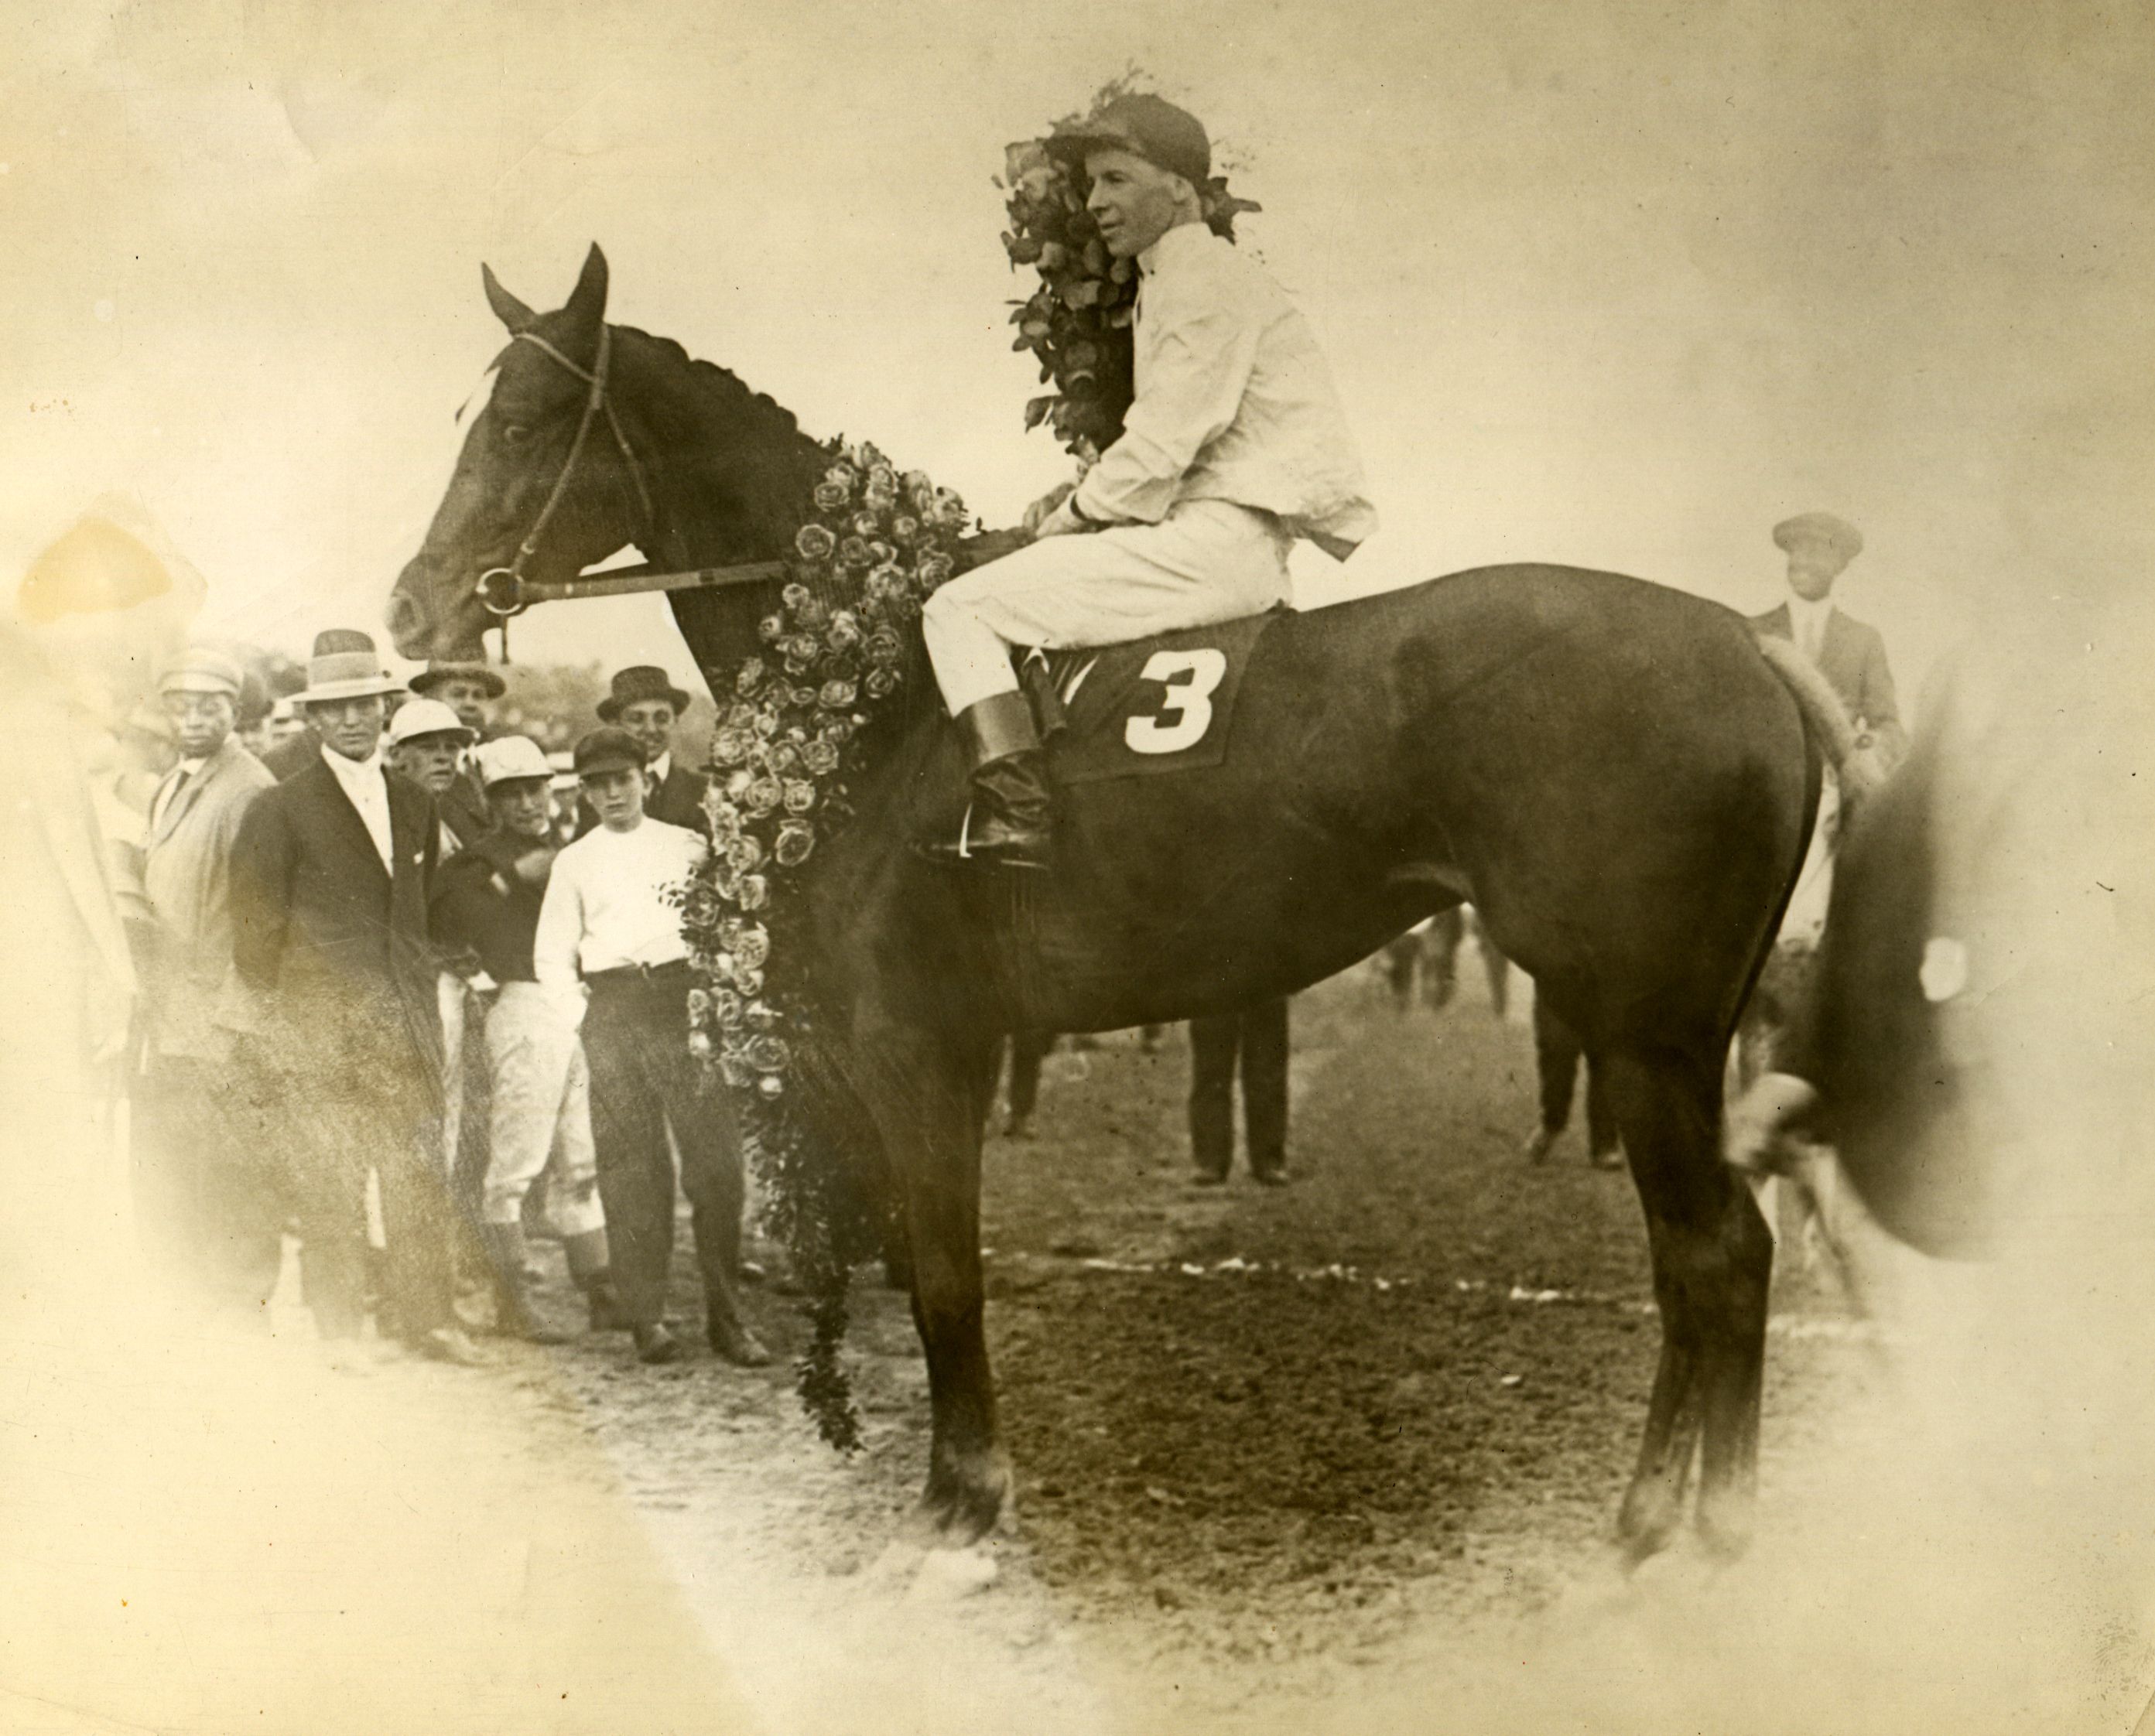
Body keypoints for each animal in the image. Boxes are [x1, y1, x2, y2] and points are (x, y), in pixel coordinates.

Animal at [388, 244, 1853, 1559]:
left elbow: (944, 1265)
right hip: (1685, 1032)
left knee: (1713, 1253)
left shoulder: (921, 1044)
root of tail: (1748, 641)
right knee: (1719, 1253)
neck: (874, 681)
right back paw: (1689, 1517)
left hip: (1642, 1026)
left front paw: (966, 1496)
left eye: (517, 420)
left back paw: (1675, 1526)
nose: (412, 609)